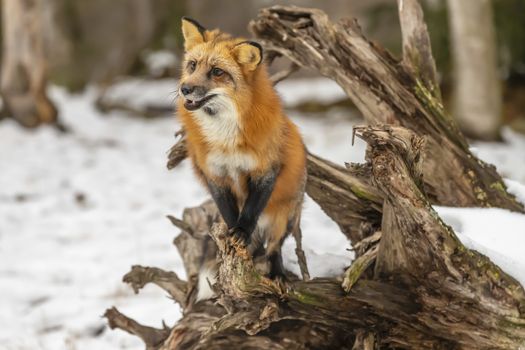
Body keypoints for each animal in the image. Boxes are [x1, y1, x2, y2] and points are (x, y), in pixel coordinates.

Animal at [177, 17, 308, 298]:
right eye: (192, 65)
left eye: (217, 72)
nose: (185, 89)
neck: (225, 140)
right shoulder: (215, 174)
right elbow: (229, 212)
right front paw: (232, 235)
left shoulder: (265, 170)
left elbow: (249, 211)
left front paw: (242, 233)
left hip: (285, 218)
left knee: (274, 249)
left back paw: (278, 274)